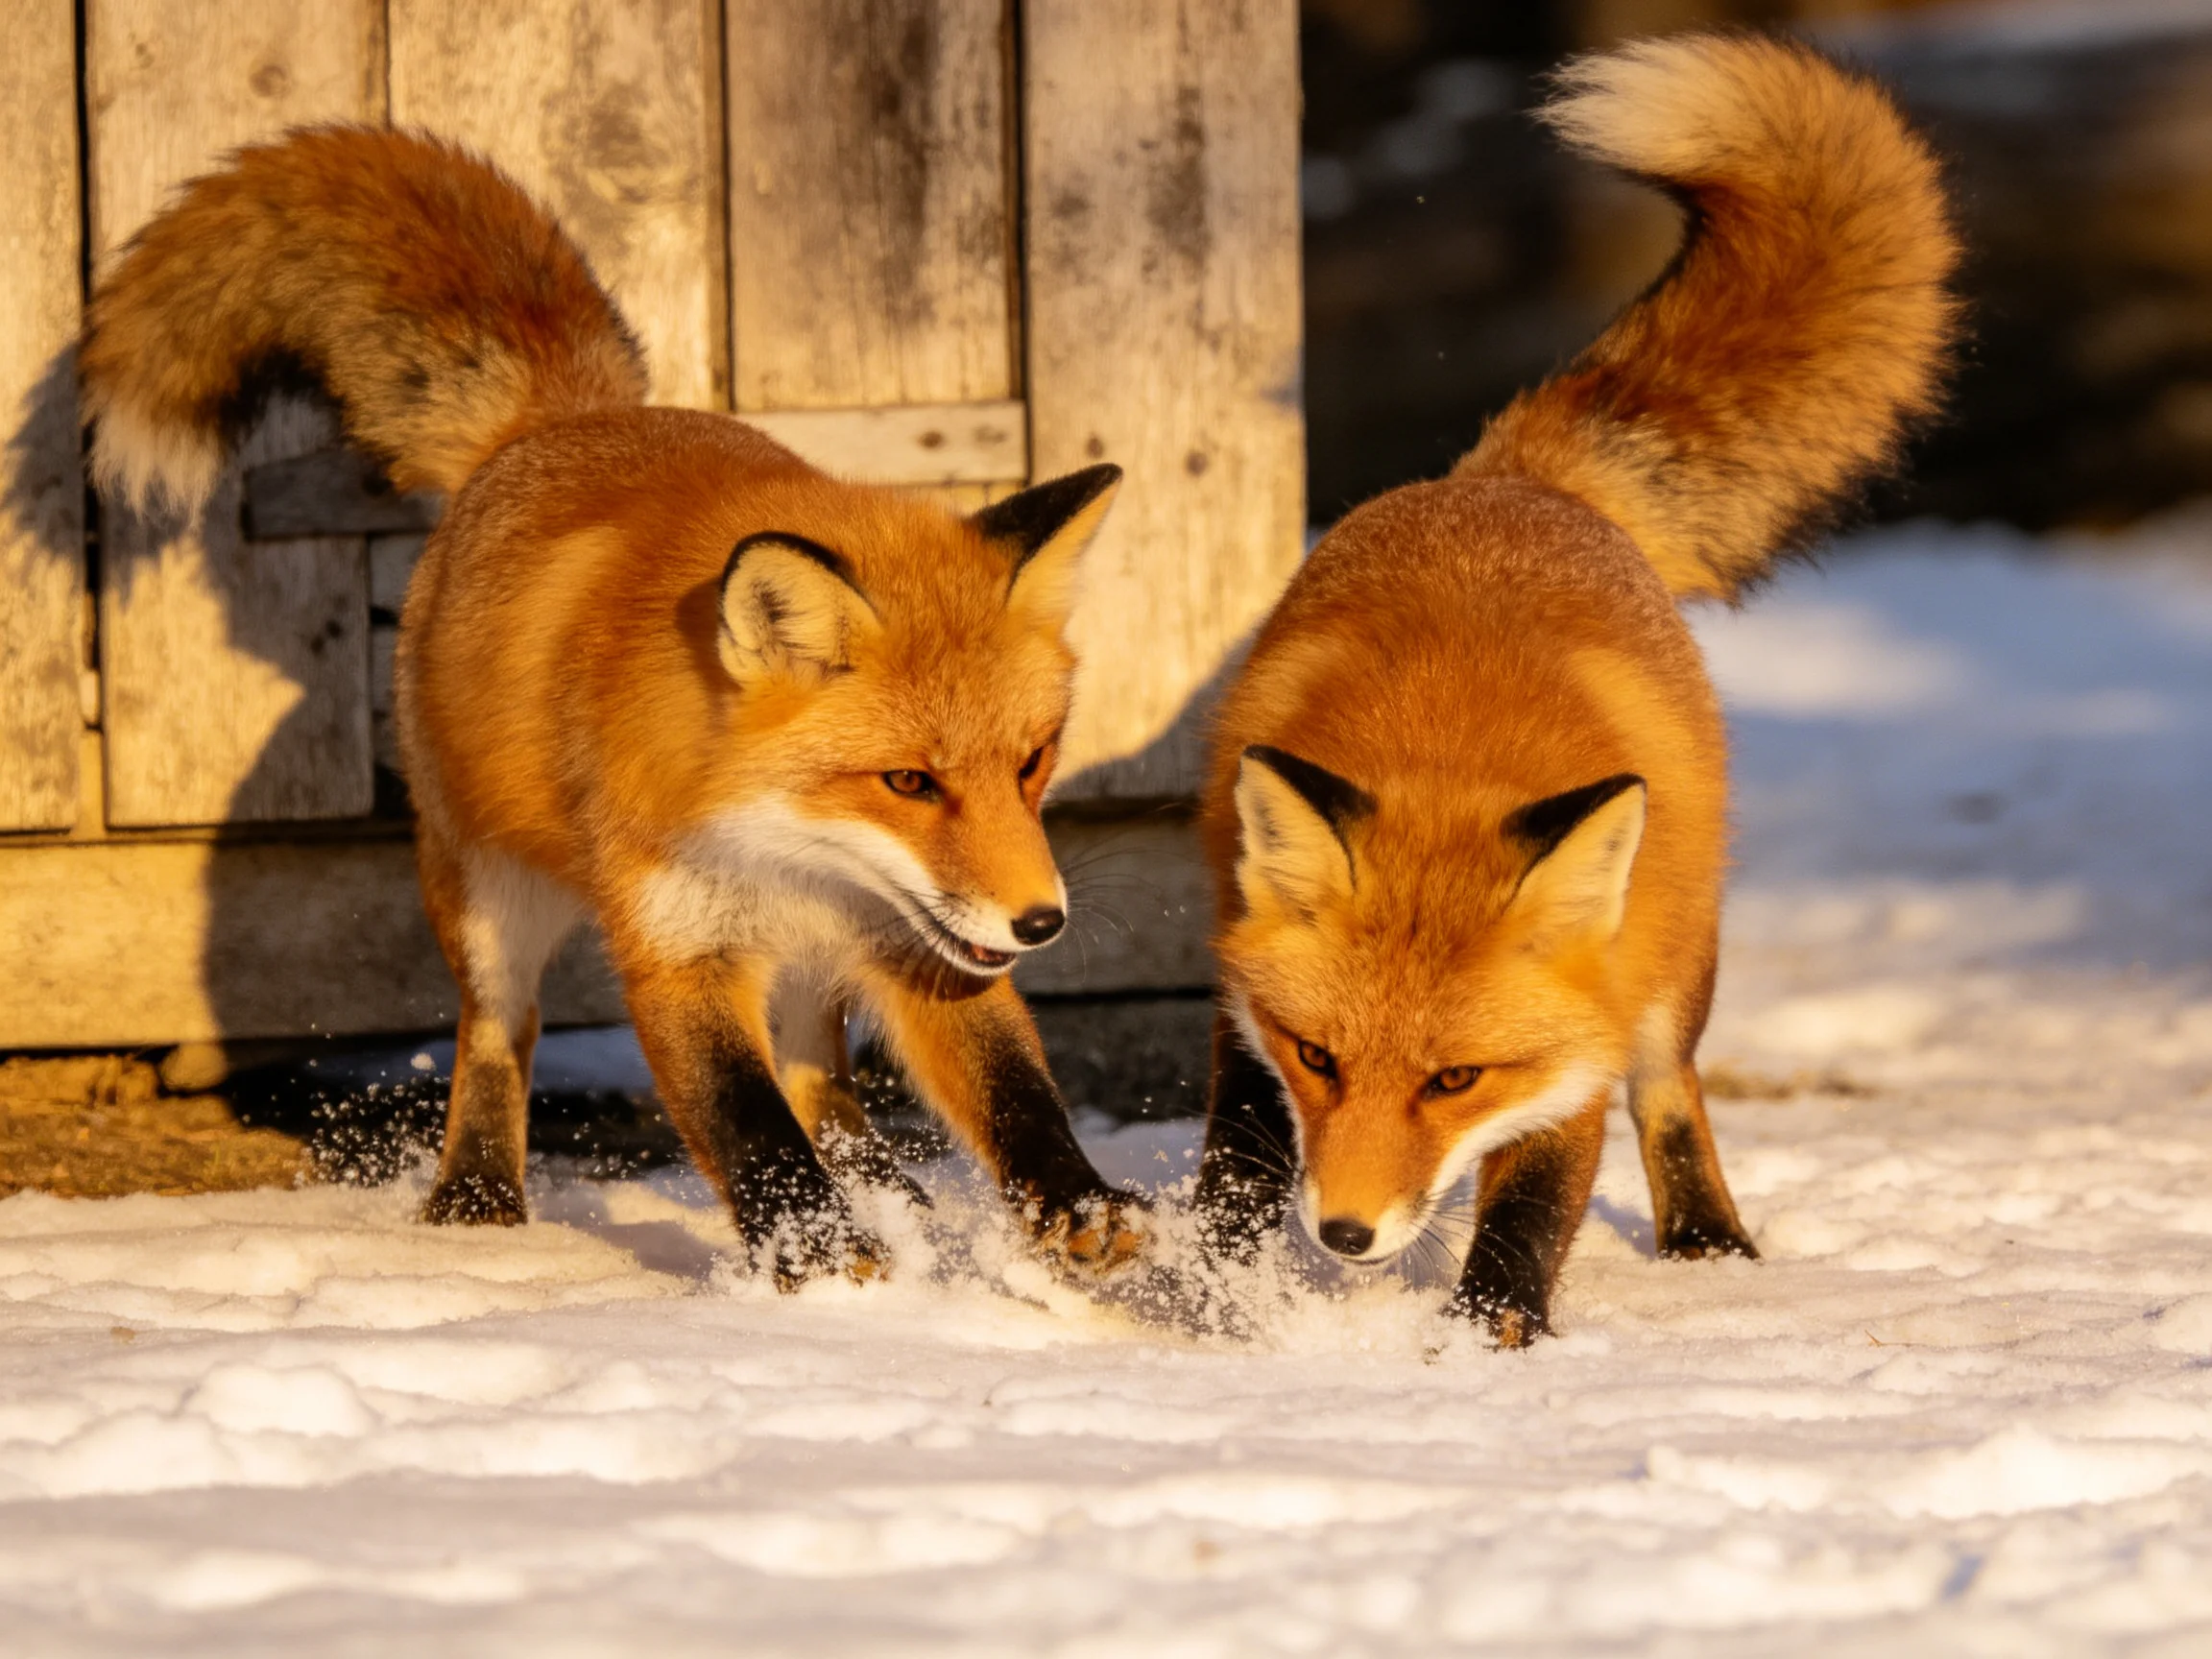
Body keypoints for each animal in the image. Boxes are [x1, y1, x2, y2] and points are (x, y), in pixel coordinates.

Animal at [79, 125, 1147, 1287]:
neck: (786, 848)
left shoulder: (919, 944)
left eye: (1033, 761)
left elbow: (1013, 1096)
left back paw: (890, 1193)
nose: (1042, 921)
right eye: (908, 780)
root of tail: (566, 420)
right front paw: (820, 1258)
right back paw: (480, 1197)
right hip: (487, 895)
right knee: (500, 1034)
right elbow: (749, 1127)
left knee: (821, 1070)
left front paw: (1076, 1208)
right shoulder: (674, 948)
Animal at [1192, 35, 1960, 1343]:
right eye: (1322, 1060)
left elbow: (1534, 1207)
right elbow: (1236, 1157)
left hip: (1672, 966)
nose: (1345, 1236)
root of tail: (1514, 480)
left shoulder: (1577, 1045)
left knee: (1675, 1092)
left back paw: (1709, 1242)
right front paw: (1209, 1294)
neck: (1449, 752)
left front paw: (1489, 1339)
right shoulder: (1246, 997)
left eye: (1454, 1079)